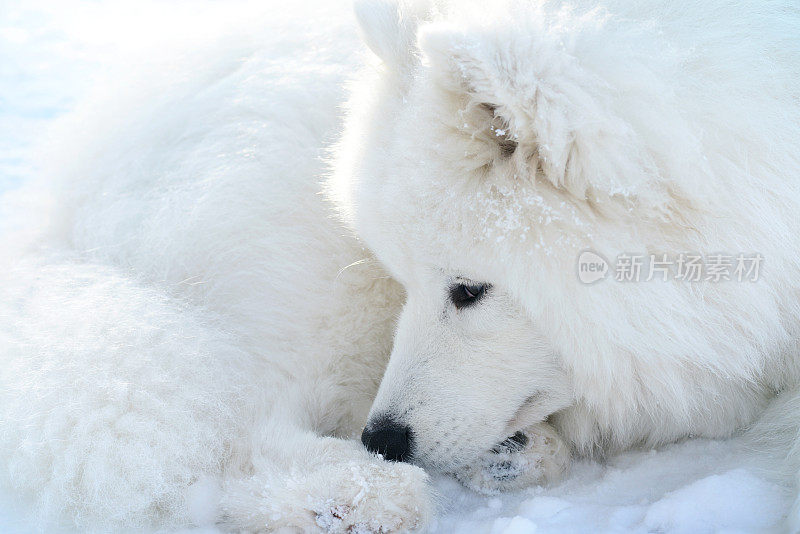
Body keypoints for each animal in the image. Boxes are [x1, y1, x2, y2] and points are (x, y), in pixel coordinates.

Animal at [1, 0, 800, 532]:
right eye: (405, 278)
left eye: (468, 290)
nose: (383, 440)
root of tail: (56, 207)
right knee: (231, 432)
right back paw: (360, 495)